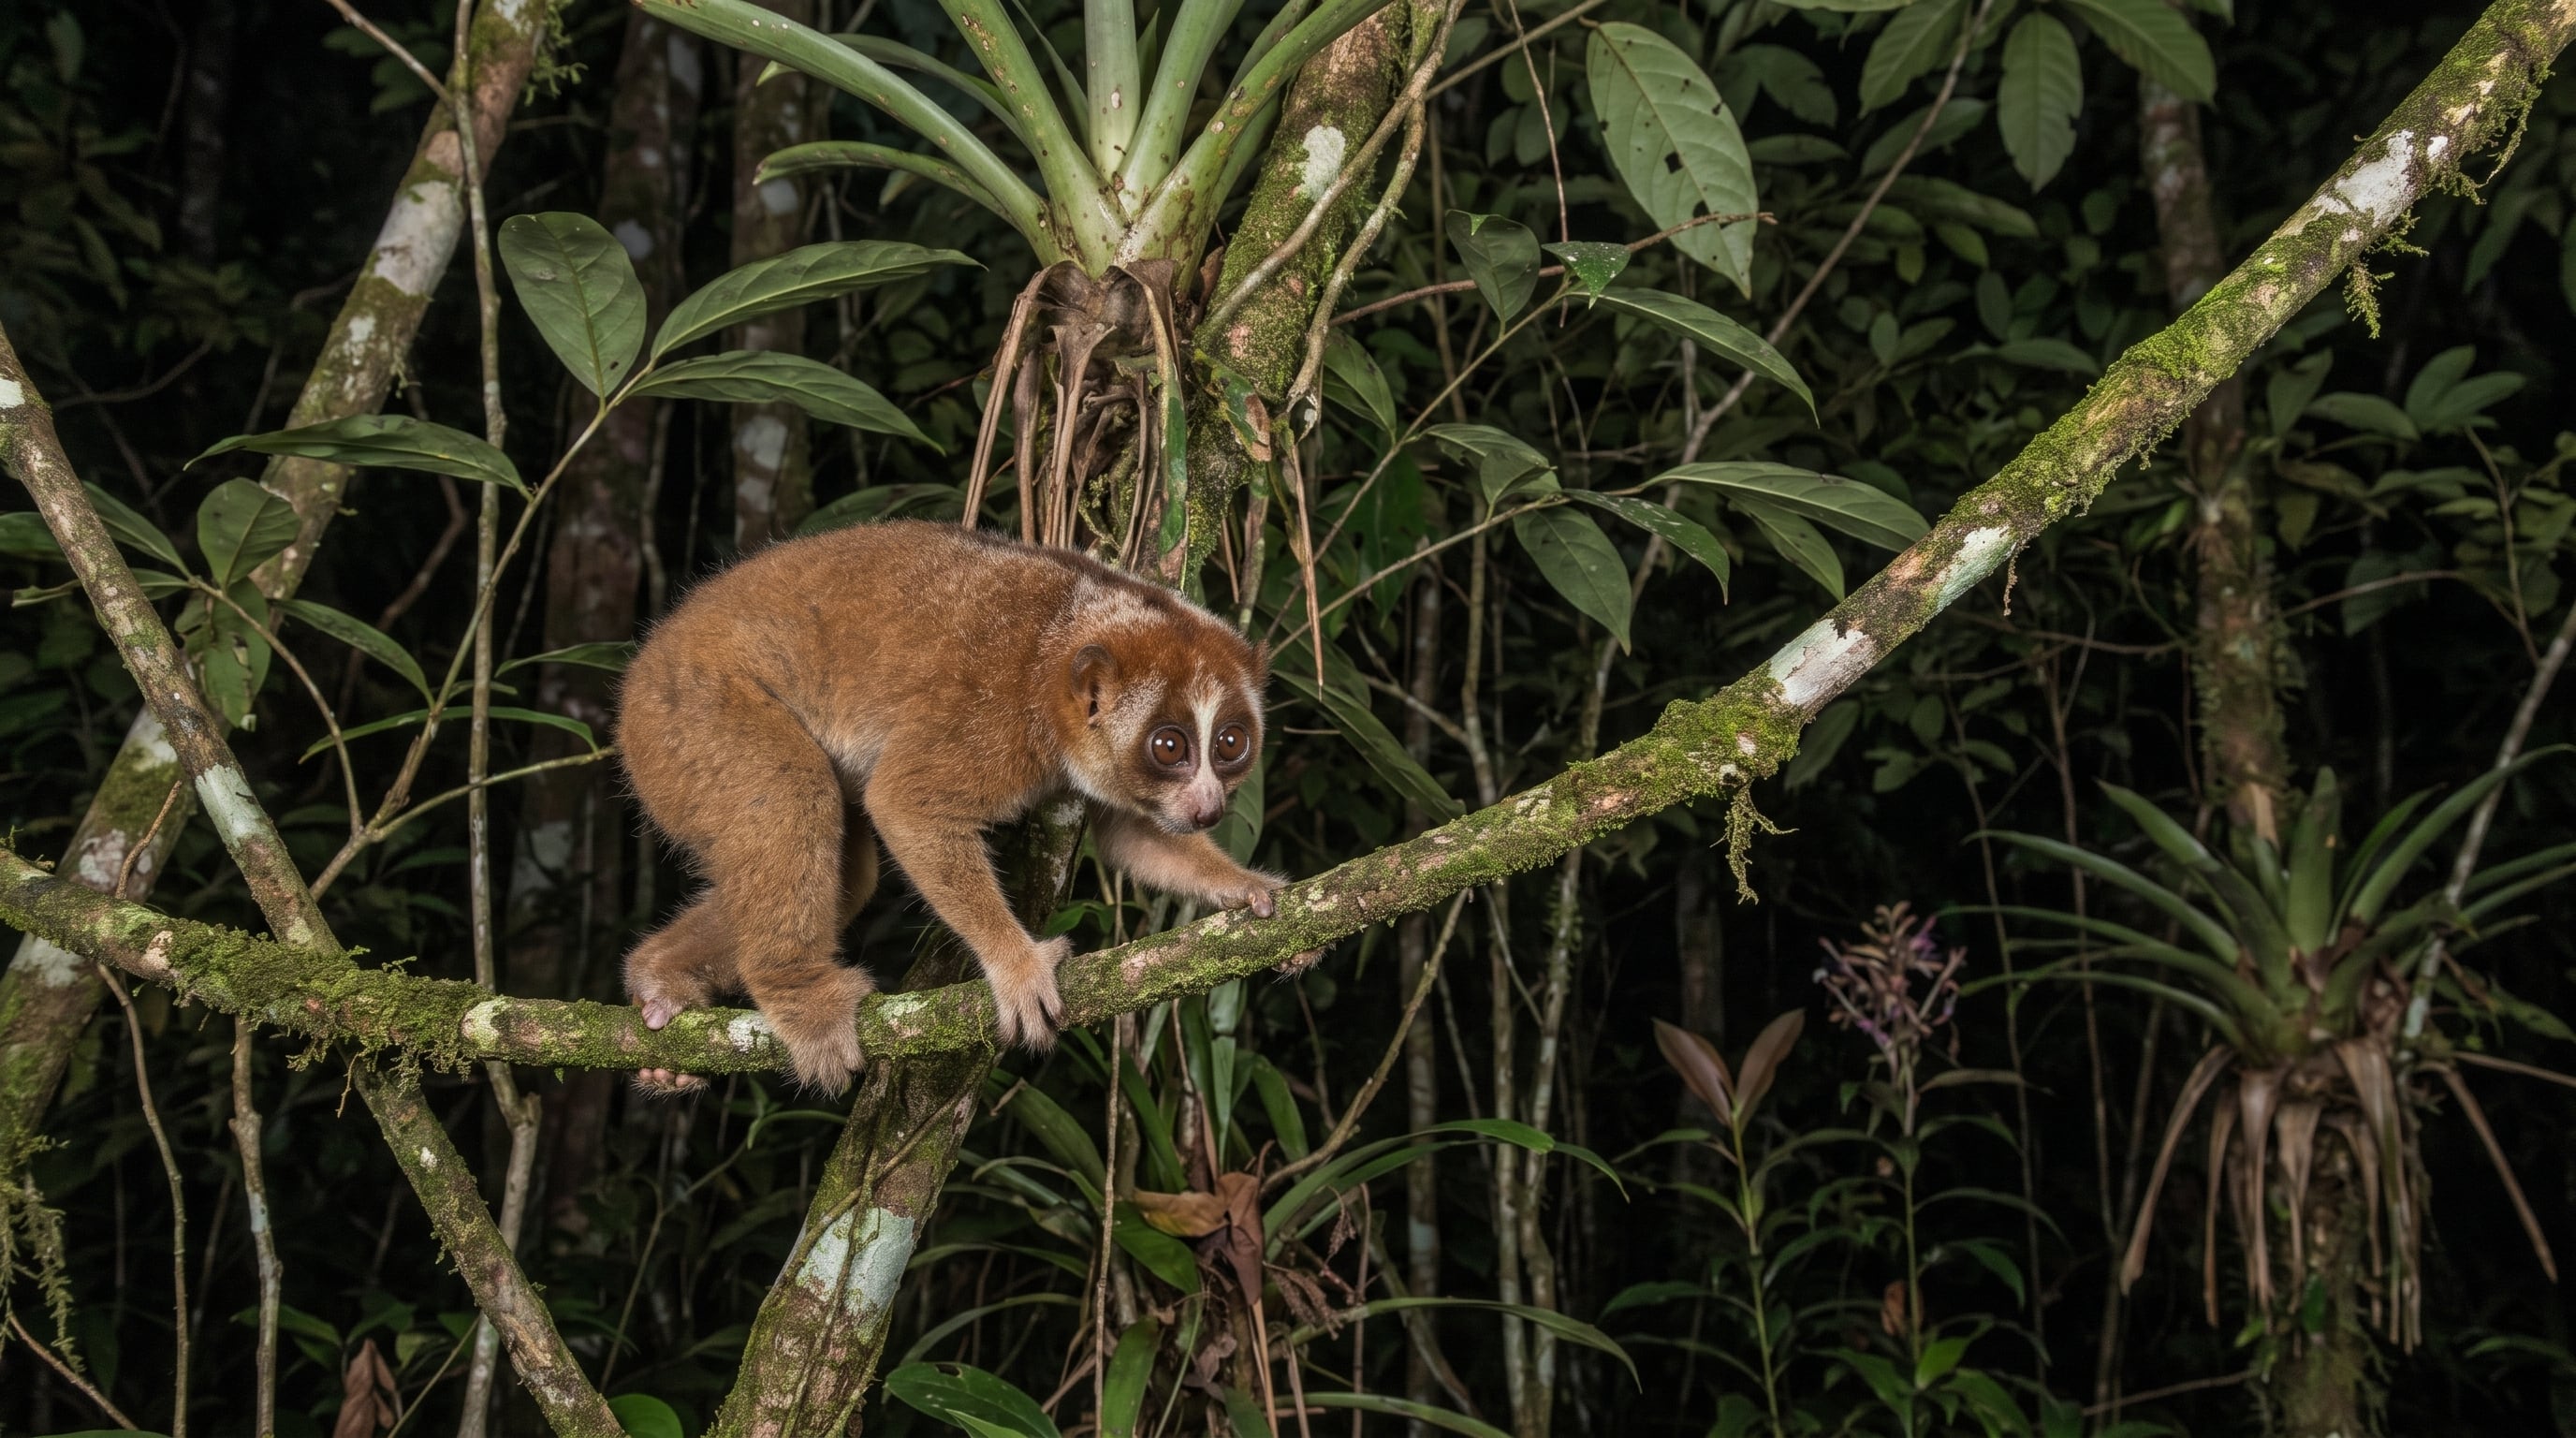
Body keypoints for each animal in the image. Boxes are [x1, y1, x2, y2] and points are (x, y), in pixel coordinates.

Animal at [614, 519, 1282, 1092]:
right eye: (1169, 747)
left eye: (1231, 744)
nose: (1209, 809)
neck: (1056, 652)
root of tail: (635, 681)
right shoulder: (991, 720)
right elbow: (905, 803)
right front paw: (1016, 966)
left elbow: (1131, 834)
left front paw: (1244, 887)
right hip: (690, 719)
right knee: (789, 795)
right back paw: (801, 1000)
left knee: (846, 876)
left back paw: (660, 981)